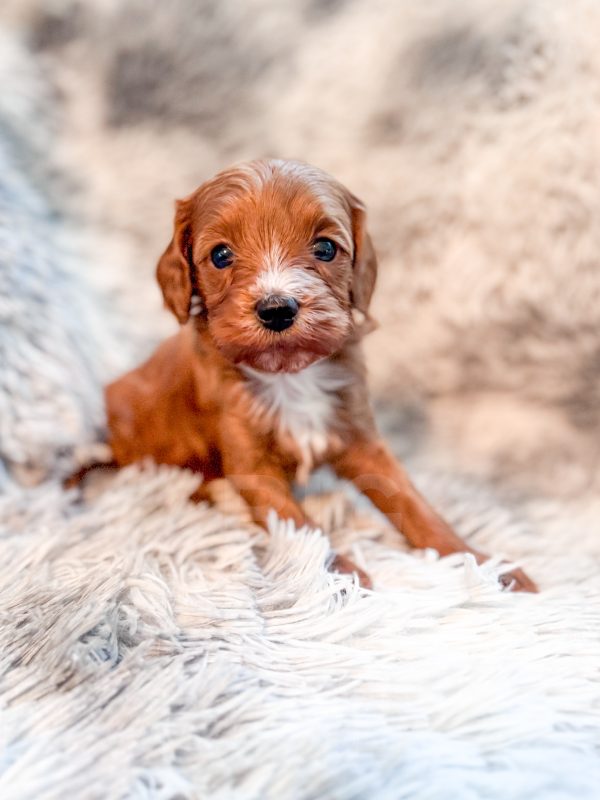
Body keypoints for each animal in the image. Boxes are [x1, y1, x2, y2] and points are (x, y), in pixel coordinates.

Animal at [80, 158, 536, 591]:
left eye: (326, 248)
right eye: (221, 256)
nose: (277, 309)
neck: (289, 373)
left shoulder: (360, 436)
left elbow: (411, 501)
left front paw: (480, 562)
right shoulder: (250, 460)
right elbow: (300, 526)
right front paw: (340, 575)